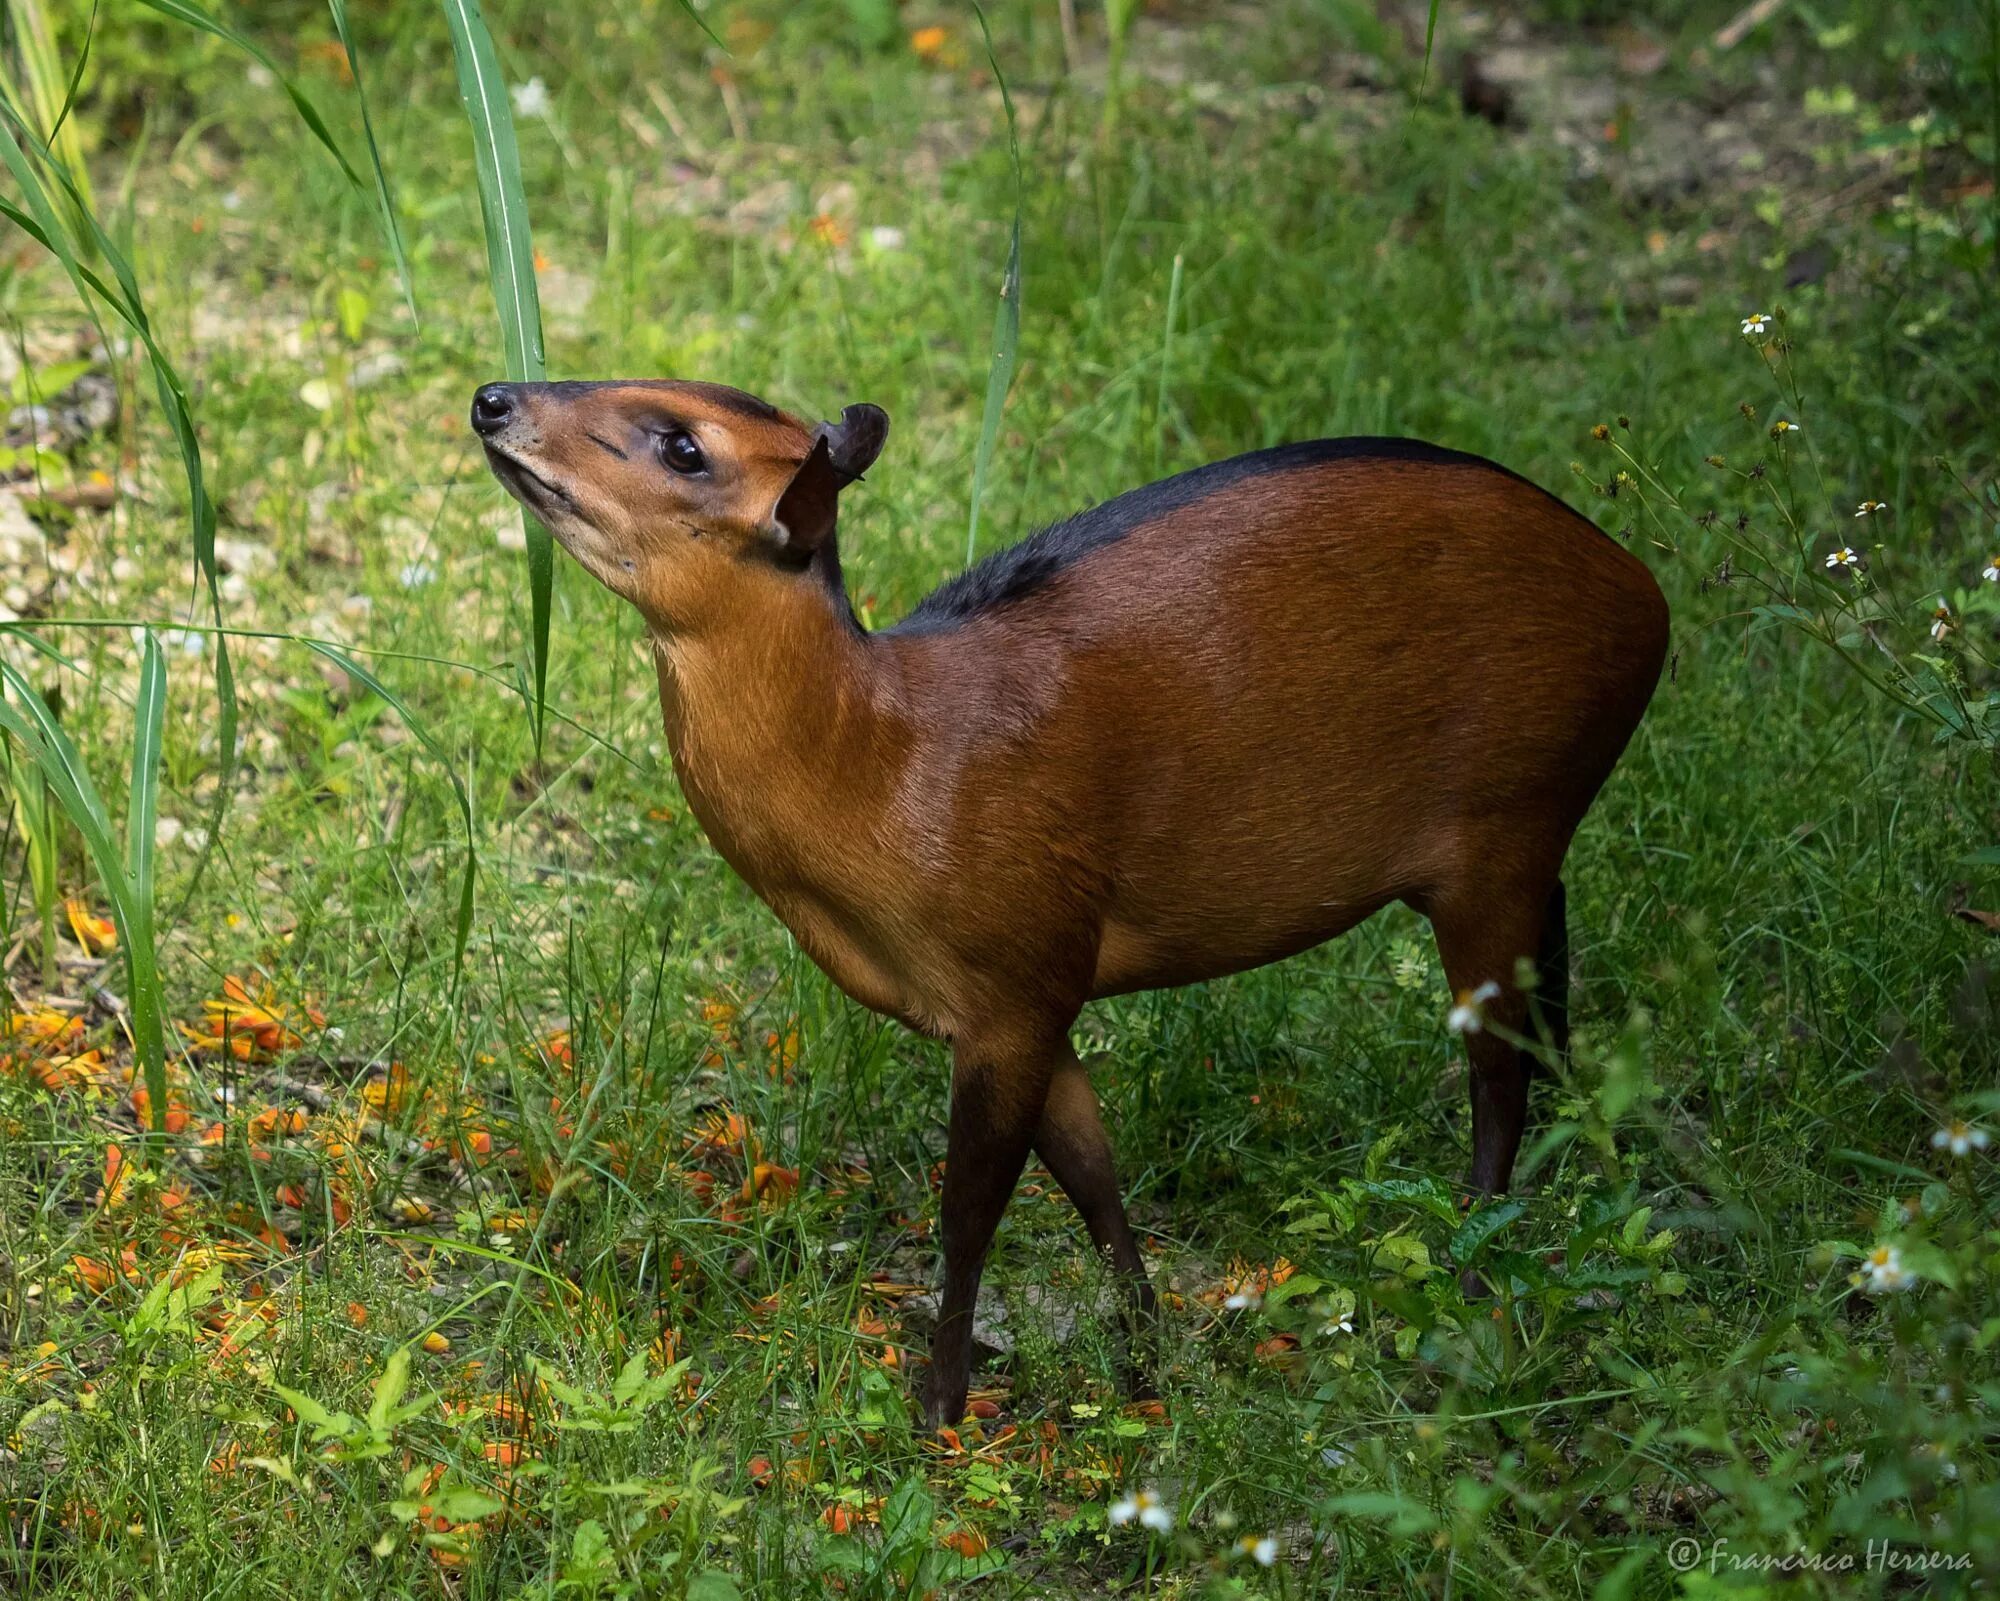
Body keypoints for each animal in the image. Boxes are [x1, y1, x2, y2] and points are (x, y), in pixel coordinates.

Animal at [472, 376, 1672, 1424]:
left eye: (684, 445)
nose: (494, 397)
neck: (887, 762)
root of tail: (1648, 598)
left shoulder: (1015, 974)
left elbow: (970, 1209)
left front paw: (940, 1412)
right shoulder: (1035, 988)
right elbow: (1093, 1176)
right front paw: (1144, 1366)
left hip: (1501, 832)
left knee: (1500, 1074)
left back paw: (1471, 1285)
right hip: (1525, 854)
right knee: (1558, 1010)